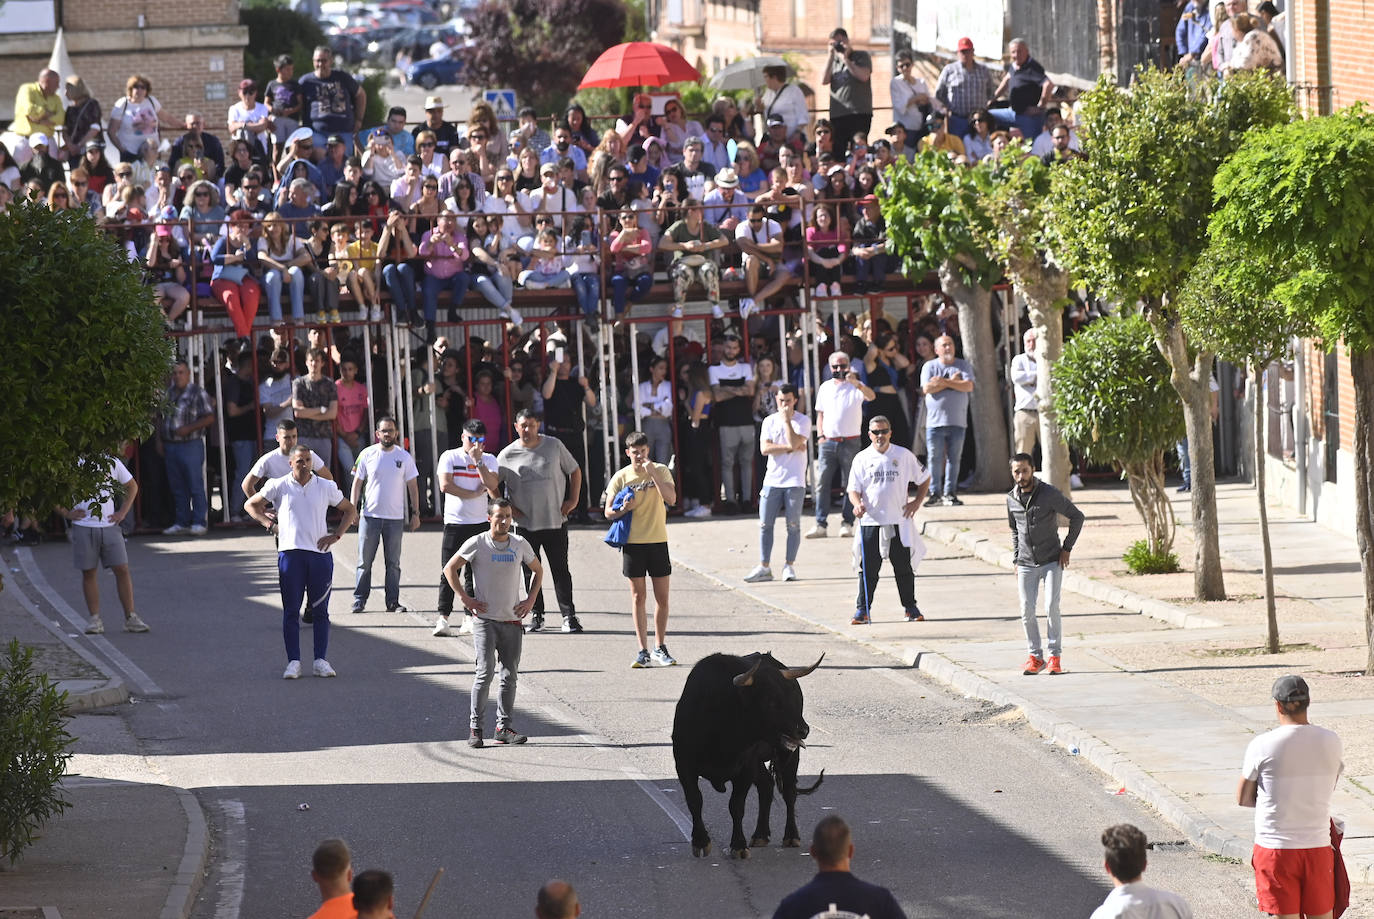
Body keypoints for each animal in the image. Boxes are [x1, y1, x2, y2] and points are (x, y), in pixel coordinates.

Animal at [667, 648, 818, 857]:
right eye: (770, 701)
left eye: (792, 697)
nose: (803, 730)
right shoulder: (683, 765)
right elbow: (694, 801)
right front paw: (700, 842)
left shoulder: (745, 769)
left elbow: (736, 806)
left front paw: (738, 845)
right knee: (766, 785)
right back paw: (760, 835)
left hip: (788, 755)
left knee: (789, 792)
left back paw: (791, 836)